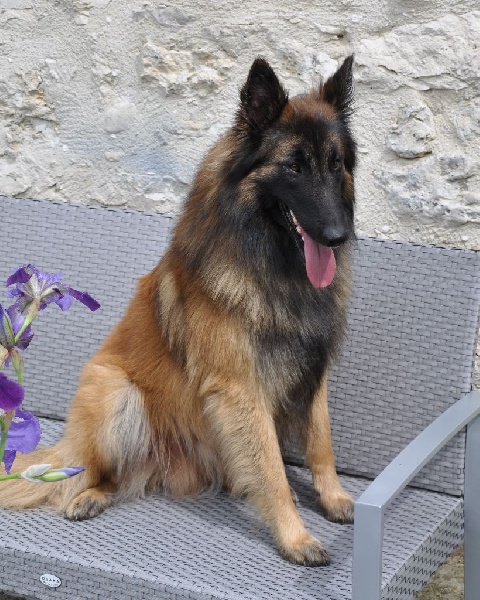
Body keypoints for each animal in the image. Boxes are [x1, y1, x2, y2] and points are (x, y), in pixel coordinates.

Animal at [0, 55, 357, 567]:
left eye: (335, 163)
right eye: (293, 166)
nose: (337, 235)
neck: (274, 266)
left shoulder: (313, 371)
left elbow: (321, 443)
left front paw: (333, 497)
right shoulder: (240, 388)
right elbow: (271, 470)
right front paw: (296, 536)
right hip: (114, 391)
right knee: (90, 473)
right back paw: (87, 495)